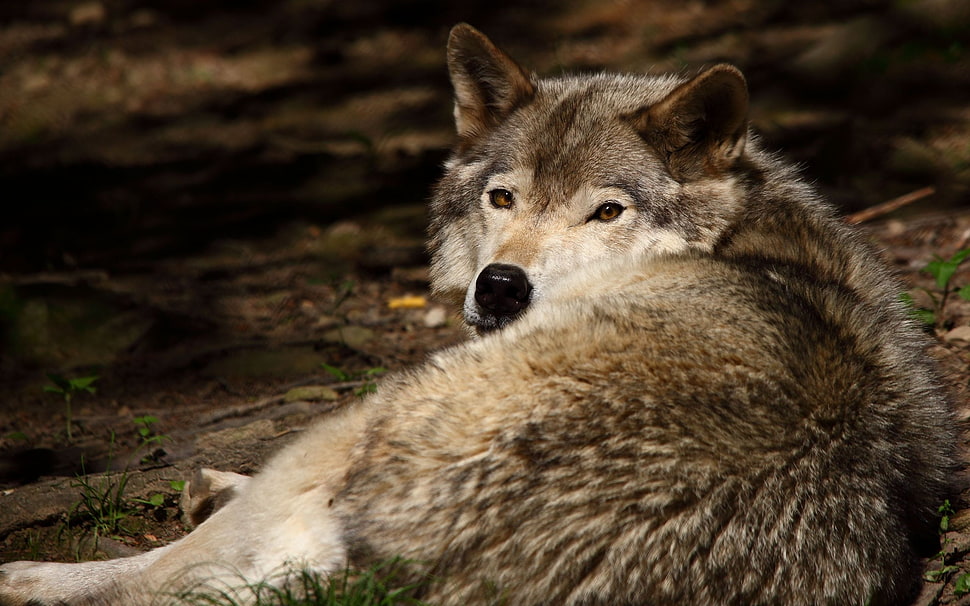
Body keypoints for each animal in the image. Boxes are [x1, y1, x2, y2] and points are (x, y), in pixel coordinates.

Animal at [0, 23, 958, 606]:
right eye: (503, 197)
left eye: (606, 212)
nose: (500, 287)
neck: (744, 235)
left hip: (364, 416)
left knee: (167, 571)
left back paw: (34, 574)